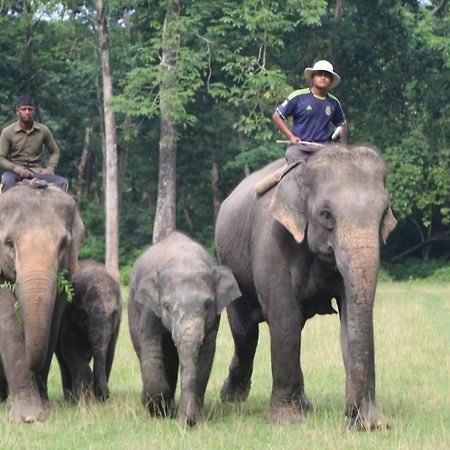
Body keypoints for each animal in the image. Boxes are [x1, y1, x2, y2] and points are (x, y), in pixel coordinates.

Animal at [0, 183, 84, 422]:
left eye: (63, 244)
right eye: (9, 243)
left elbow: (53, 321)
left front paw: (45, 410)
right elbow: (7, 317)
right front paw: (28, 418)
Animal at [56, 258, 123, 402]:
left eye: (114, 314)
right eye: (84, 314)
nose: (106, 396)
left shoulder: (117, 325)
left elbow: (110, 352)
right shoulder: (68, 315)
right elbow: (70, 348)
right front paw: (86, 398)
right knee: (63, 360)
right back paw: (70, 399)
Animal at [128, 232, 243, 426]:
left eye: (208, 304)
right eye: (166, 306)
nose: (187, 422)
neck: (184, 260)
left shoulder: (214, 317)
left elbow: (206, 355)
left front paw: (194, 419)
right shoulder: (151, 309)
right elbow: (151, 346)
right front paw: (158, 412)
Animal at [217, 145, 398, 428]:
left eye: (383, 214)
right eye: (326, 215)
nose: (351, 412)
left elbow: (349, 321)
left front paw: (371, 424)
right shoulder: (271, 241)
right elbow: (284, 318)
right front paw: (287, 420)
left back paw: (304, 404)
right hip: (230, 264)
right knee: (245, 331)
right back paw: (232, 398)